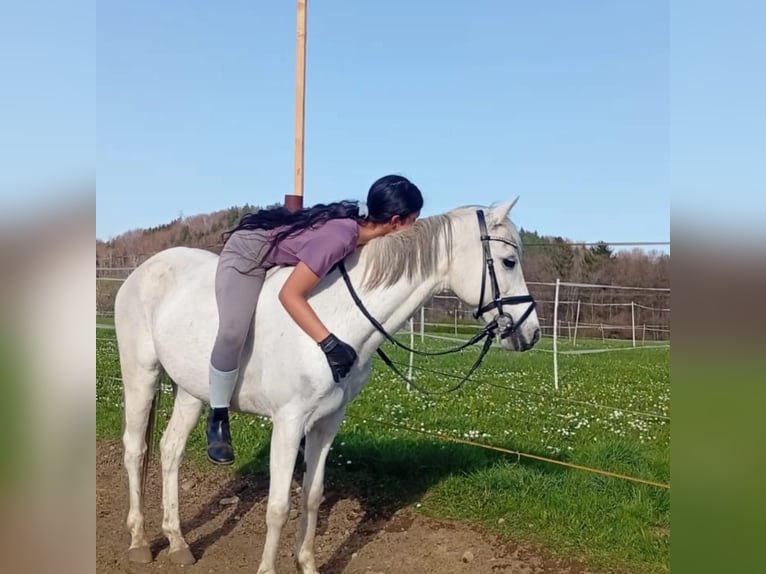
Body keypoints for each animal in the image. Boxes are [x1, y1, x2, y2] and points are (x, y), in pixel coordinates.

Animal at [114, 200, 541, 574]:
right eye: (509, 261)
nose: (531, 333)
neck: (331, 322)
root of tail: (142, 270)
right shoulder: (288, 423)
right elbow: (278, 507)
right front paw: (268, 569)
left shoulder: (327, 421)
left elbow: (312, 496)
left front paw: (307, 564)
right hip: (141, 375)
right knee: (136, 450)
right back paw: (138, 543)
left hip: (191, 391)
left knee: (170, 450)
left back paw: (178, 542)